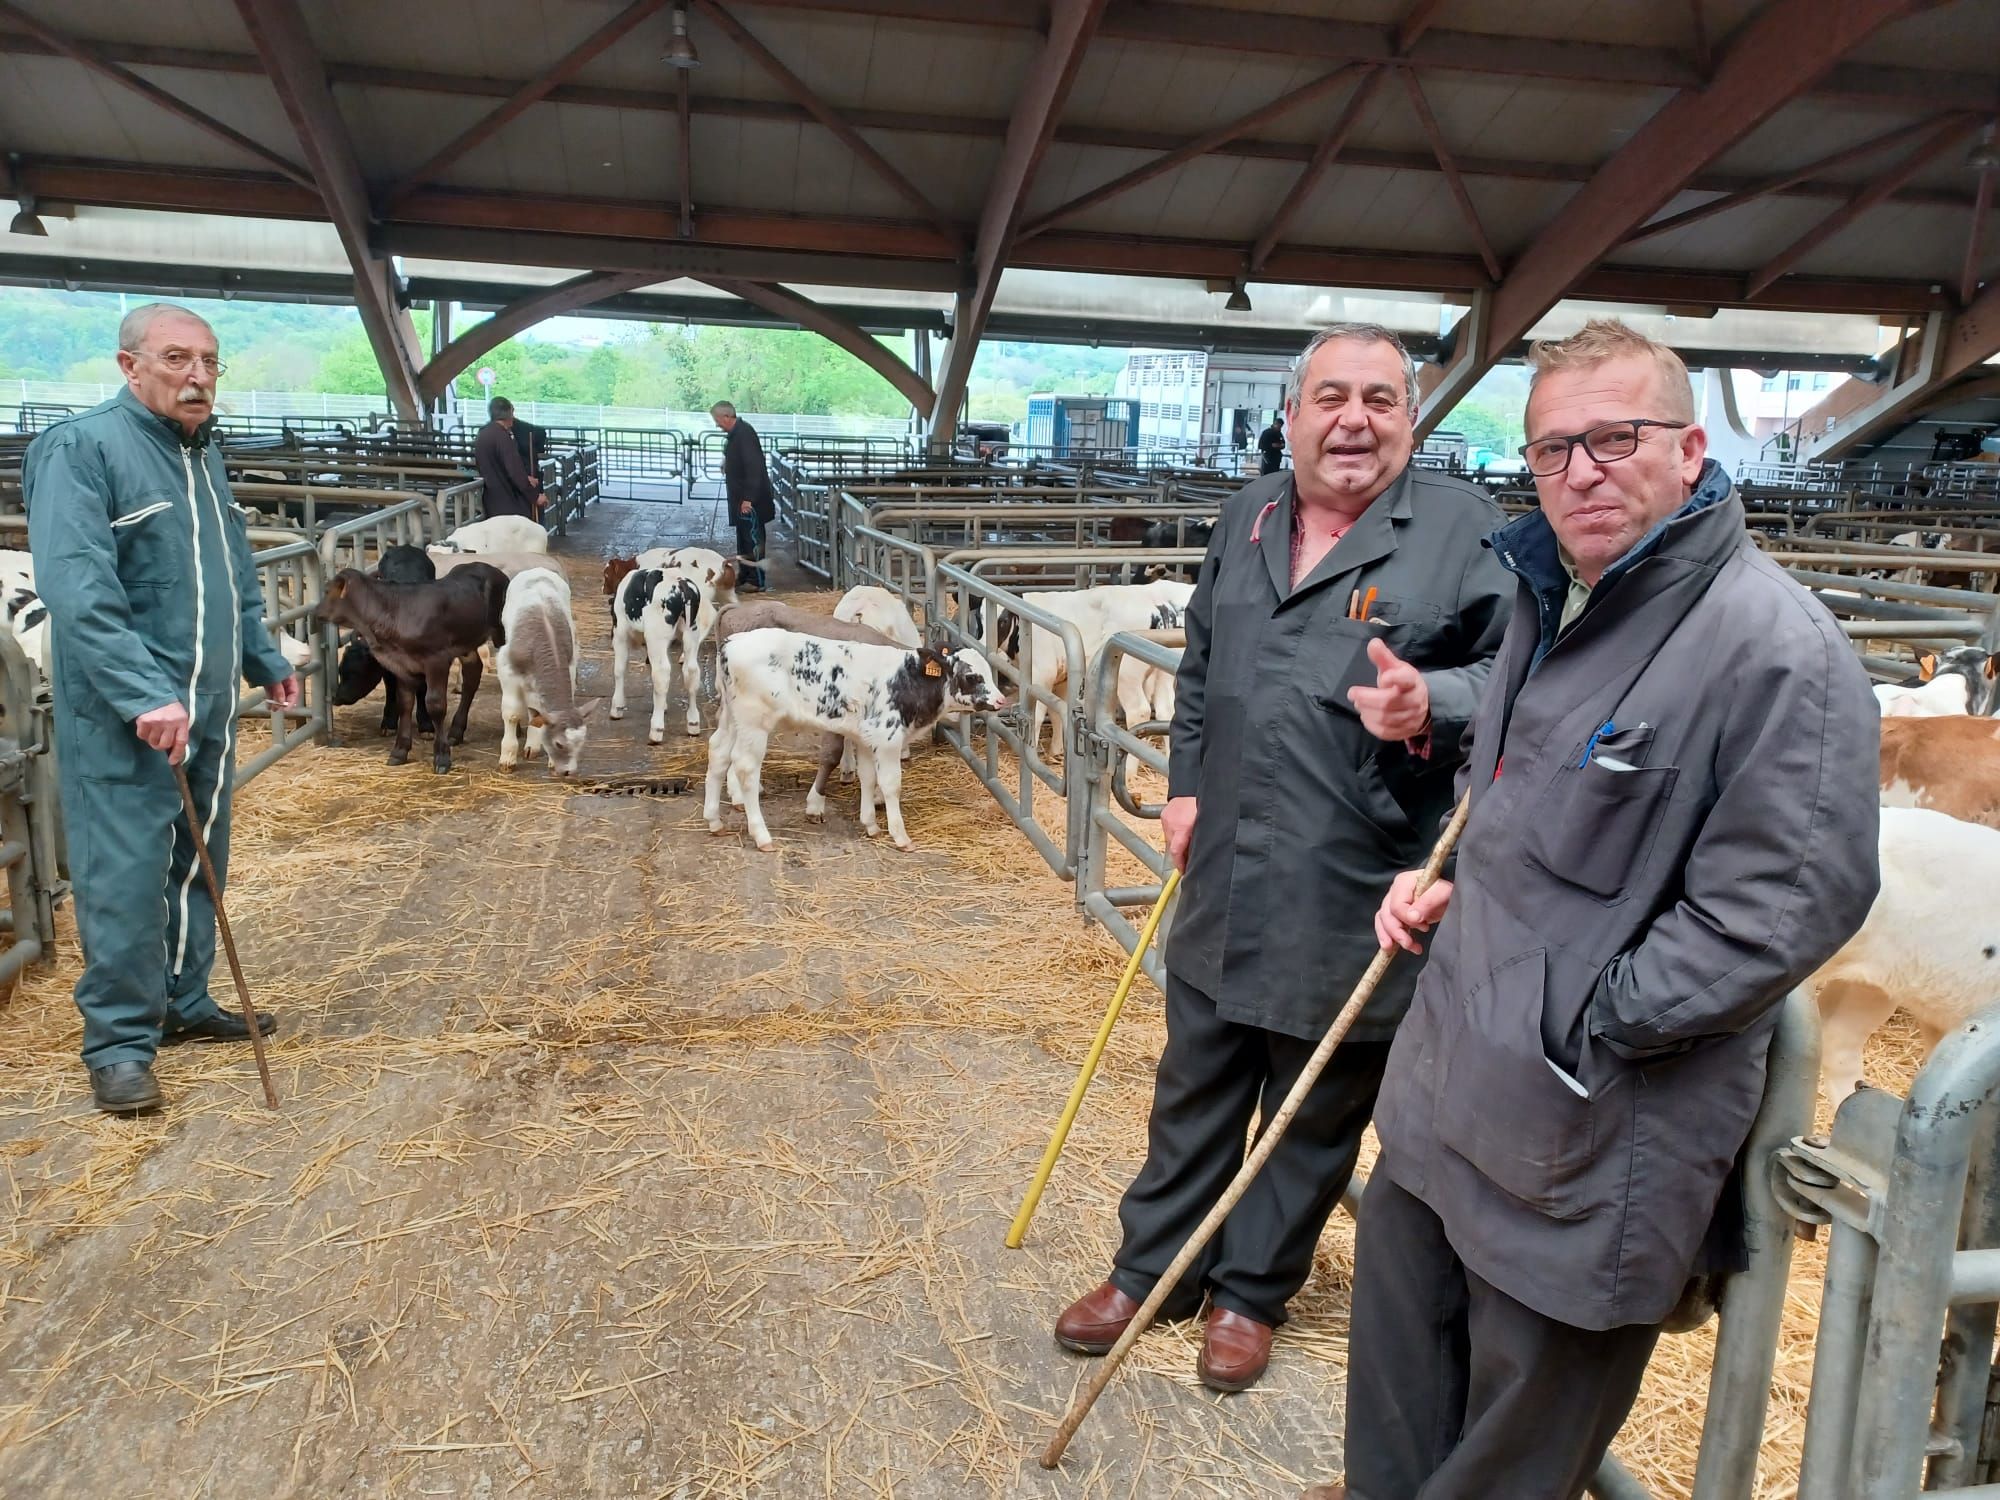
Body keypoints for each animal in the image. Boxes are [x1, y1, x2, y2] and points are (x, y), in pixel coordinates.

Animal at [494, 572, 600, 776]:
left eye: (581, 744)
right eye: (559, 744)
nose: (569, 772)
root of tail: (537, 570)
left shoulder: (570, 665)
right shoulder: (507, 670)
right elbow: (512, 714)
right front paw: (507, 758)